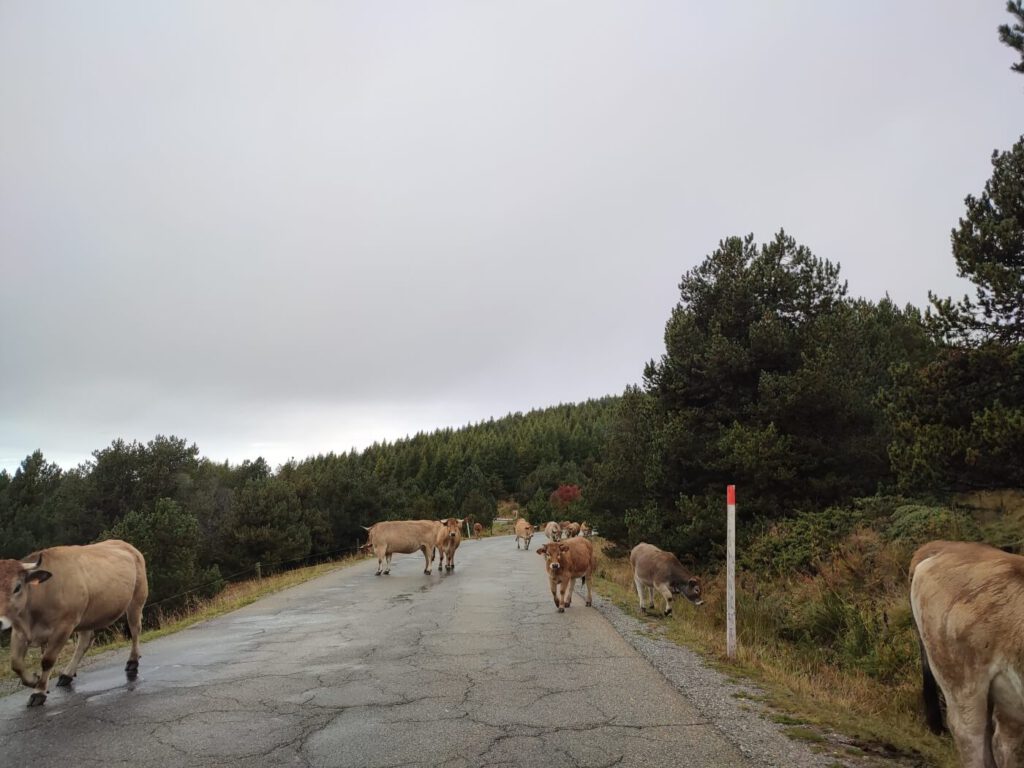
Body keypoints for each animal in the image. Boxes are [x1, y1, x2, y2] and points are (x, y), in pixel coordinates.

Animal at [0, 536, 149, 708]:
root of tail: (126, 545)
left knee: (135, 630)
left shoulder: (64, 626)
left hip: (136, 601)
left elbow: (47, 660)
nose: (0, 621)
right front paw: (33, 681)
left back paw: (132, 661)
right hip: (87, 615)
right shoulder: (19, 631)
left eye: (17, 587)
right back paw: (67, 674)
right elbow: (16, 663)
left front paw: (39, 692)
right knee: (84, 641)